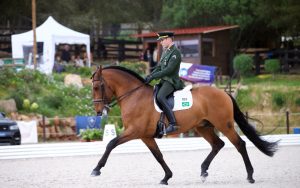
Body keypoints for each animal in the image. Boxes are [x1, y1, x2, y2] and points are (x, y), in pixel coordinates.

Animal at [90, 65, 278, 185]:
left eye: (98, 87)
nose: (99, 111)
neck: (134, 96)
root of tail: (223, 93)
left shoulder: (134, 131)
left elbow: (111, 143)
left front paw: (96, 169)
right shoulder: (145, 136)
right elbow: (158, 156)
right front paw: (166, 177)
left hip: (224, 125)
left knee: (240, 144)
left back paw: (250, 176)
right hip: (203, 126)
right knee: (218, 144)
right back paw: (203, 172)